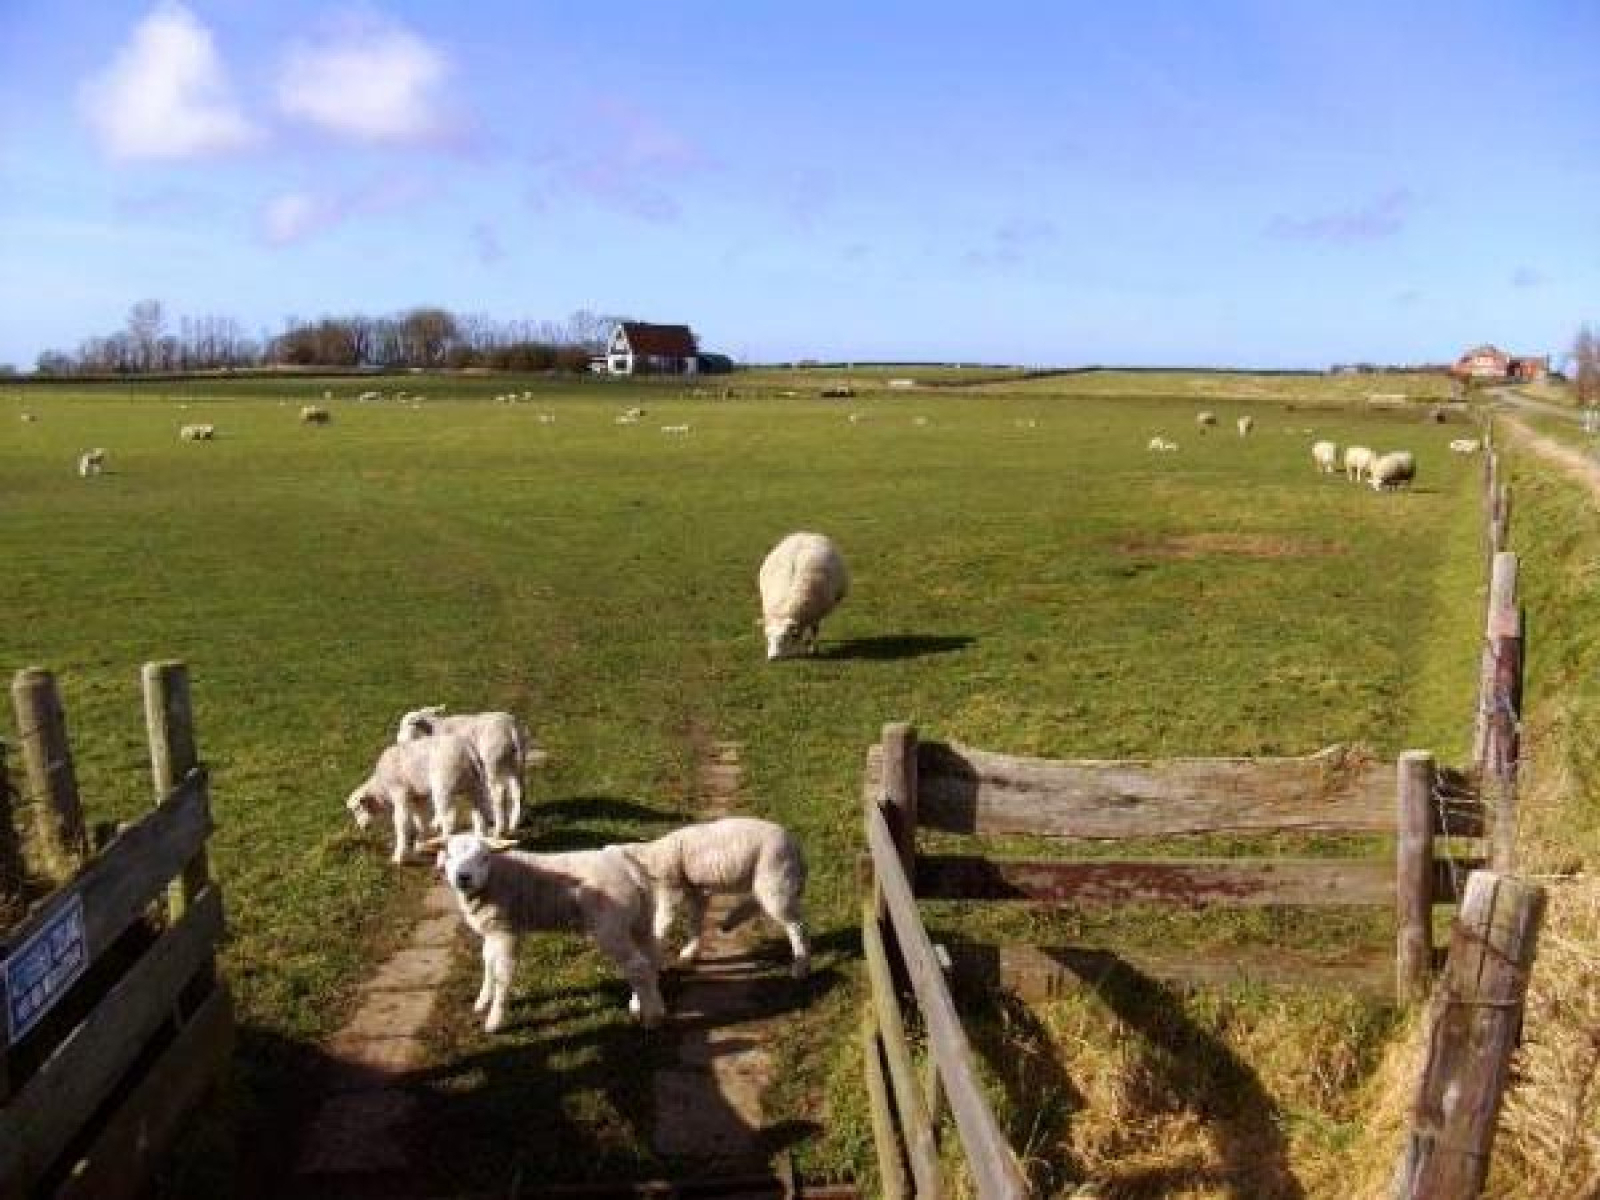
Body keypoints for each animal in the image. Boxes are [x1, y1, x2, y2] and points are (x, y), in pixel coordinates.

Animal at [347, 732, 496, 864]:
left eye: (357, 809)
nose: (363, 828)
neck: (381, 788)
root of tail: (468, 750)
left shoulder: (400, 793)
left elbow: (402, 822)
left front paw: (399, 856)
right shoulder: (419, 798)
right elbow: (421, 820)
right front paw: (419, 845)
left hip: (443, 785)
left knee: (449, 818)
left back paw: (444, 842)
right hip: (476, 786)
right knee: (480, 812)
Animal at [393, 704, 531, 838]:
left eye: (407, 724)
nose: (399, 741)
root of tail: (510, 727)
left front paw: (437, 822)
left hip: (492, 759)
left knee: (498, 792)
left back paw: (499, 829)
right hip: (515, 763)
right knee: (518, 791)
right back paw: (514, 824)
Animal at [438, 832, 662, 1036]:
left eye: (484, 857)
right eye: (448, 855)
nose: (463, 877)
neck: (496, 876)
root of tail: (628, 866)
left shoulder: (507, 931)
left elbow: (503, 975)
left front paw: (494, 1021)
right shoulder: (493, 930)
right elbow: (488, 963)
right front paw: (483, 1000)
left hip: (611, 925)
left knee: (638, 966)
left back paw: (651, 1018)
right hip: (640, 920)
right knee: (649, 959)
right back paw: (646, 1004)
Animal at [617, 819, 806, 979]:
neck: (648, 859)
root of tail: (797, 849)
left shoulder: (671, 888)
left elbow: (663, 921)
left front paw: (655, 947)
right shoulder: (696, 893)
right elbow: (695, 923)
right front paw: (689, 953)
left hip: (774, 871)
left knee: (795, 924)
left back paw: (800, 966)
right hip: (768, 878)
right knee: (758, 902)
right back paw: (730, 921)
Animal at [758, 534, 851, 662]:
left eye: (785, 637)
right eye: (767, 637)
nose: (772, 658)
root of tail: (807, 534)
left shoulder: (816, 614)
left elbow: (815, 630)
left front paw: (813, 649)